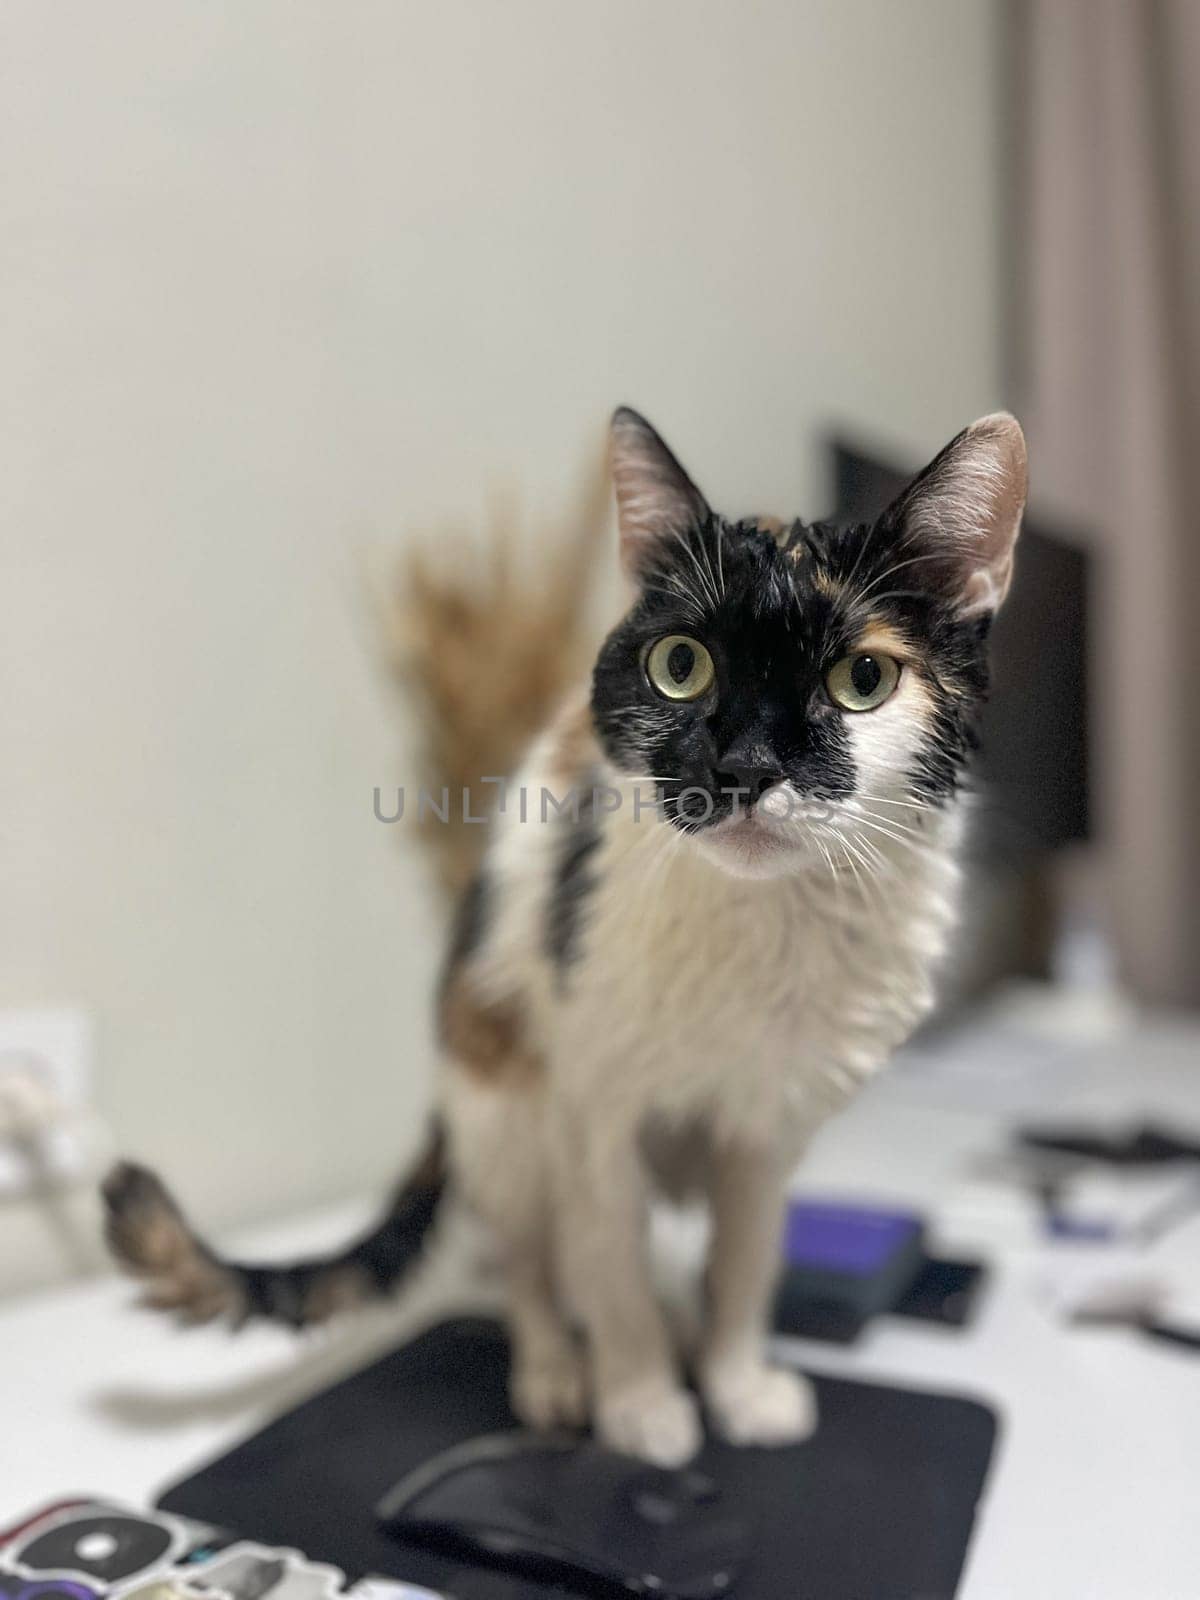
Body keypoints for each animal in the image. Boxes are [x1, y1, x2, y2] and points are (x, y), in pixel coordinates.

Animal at [103, 406, 1030, 1465]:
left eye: (862, 677)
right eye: (681, 666)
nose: (744, 768)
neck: (768, 926)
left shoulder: (767, 1133)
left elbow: (745, 1262)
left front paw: (736, 1387)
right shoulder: (595, 1107)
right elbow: (609, 1264)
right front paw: (642, 1408)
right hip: (502, 1094)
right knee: (536, 1261)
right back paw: (556, 1372)